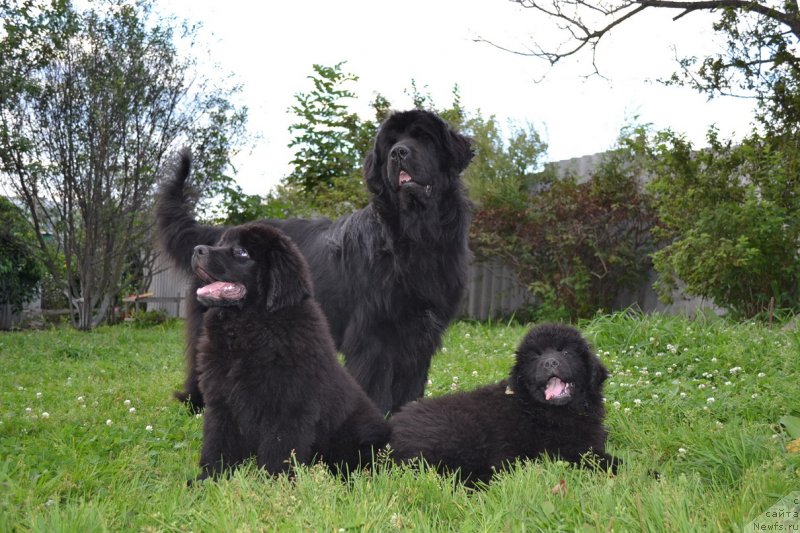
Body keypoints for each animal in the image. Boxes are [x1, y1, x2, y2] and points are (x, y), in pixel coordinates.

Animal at [156, 109, 476, 416]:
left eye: (423, 137)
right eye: (390, 143)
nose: (398, 153)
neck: (414, 236)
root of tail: (216, 235)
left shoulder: (419, 336)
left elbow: (410, 386)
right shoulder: (374, 334)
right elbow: (375, 386)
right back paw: (197, 404)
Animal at [188, 221, 388, 482]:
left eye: (241, 252)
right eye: (221, 243)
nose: (197, 249)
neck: (248, 327)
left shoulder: (287, 408)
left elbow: (279, 451)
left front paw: (273, 484)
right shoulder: (222, 403)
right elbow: (218, 443)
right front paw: (209, 479)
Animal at [388, 320, 620, 486]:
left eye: (565, 351)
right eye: (535, 356)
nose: (549, 362)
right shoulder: (560, 449)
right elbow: (595, 458)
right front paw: (620, 465)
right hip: (461, 432)